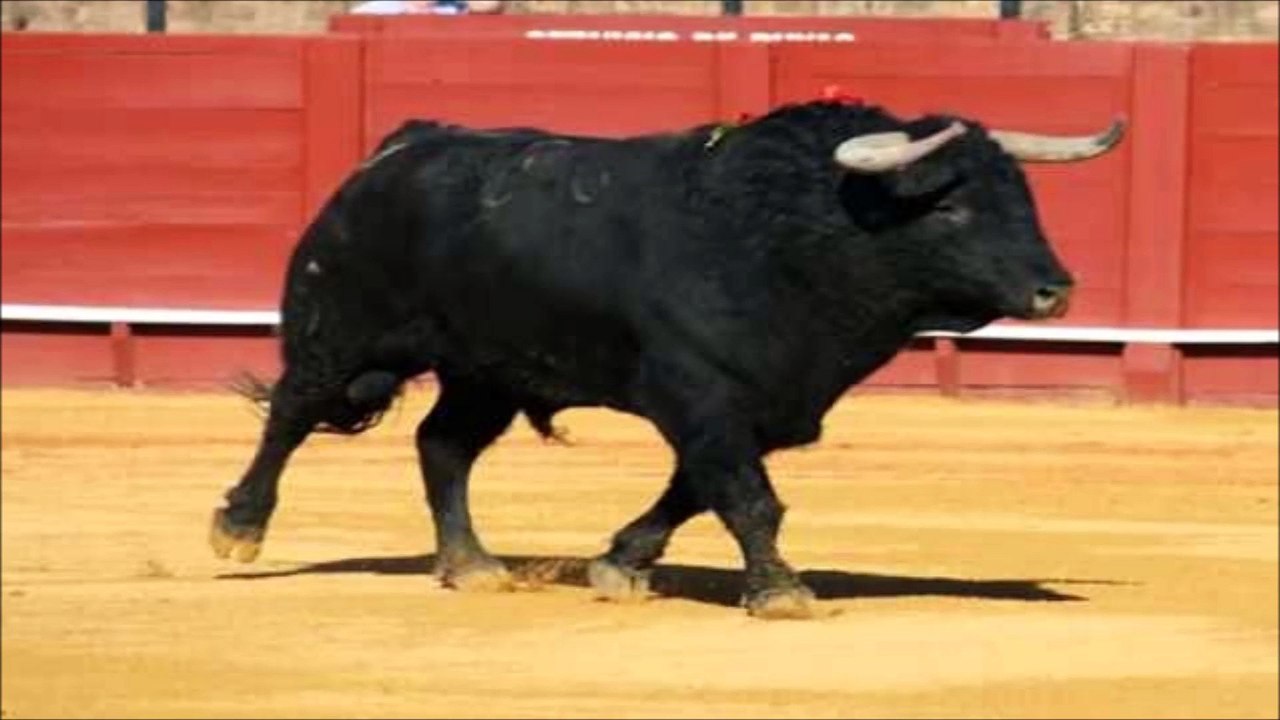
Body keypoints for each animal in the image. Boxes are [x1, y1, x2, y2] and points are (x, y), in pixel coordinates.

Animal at [209, 100, 1124, 618]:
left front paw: (619, 563)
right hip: (340, 333)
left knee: (442, 446)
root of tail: (396, 151)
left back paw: (471, 567)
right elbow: (746, 498)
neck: (790, 233)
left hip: (490, 371)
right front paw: (782, 592)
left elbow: (698, 490)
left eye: (1023, 196)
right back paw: (239, 529)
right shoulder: (701, 394)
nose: (1055, 291)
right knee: (291, 413)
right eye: (953, 209)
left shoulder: (763, 404)